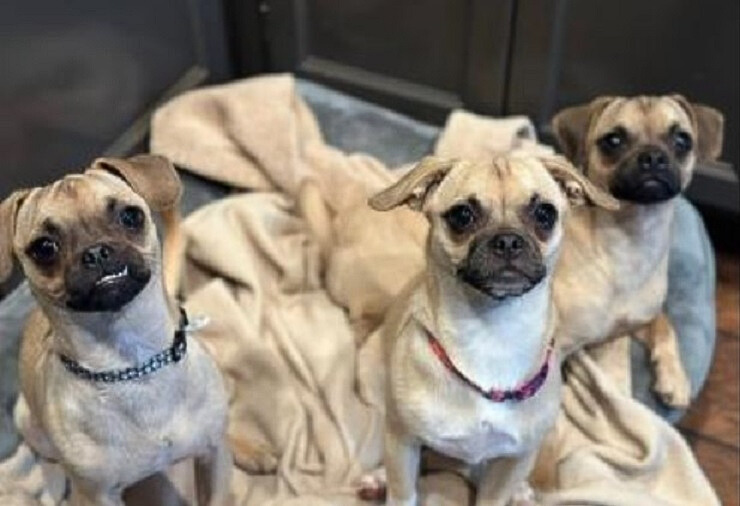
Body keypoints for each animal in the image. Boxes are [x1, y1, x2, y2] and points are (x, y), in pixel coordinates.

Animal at [0, 155, 236, 506]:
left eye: (130, 216)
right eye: (44, 248)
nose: (96, 252)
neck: (131, 363)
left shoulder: (214, 455)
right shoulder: (97, 495)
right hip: (27, 421)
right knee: (47, 458)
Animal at [368, 154, 620, 506]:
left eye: (545, 213)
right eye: (462, 215)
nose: (508, 241)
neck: (492, 332)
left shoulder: (514, 460)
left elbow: (494, 495)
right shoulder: (403, 441)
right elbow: (403, 492)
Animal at [556, 95, 724, 408]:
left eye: (682, 140)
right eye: (613, 140)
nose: (653, 157)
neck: (631, 236)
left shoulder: (639, 318)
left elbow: (666, 326)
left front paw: (675, 378)